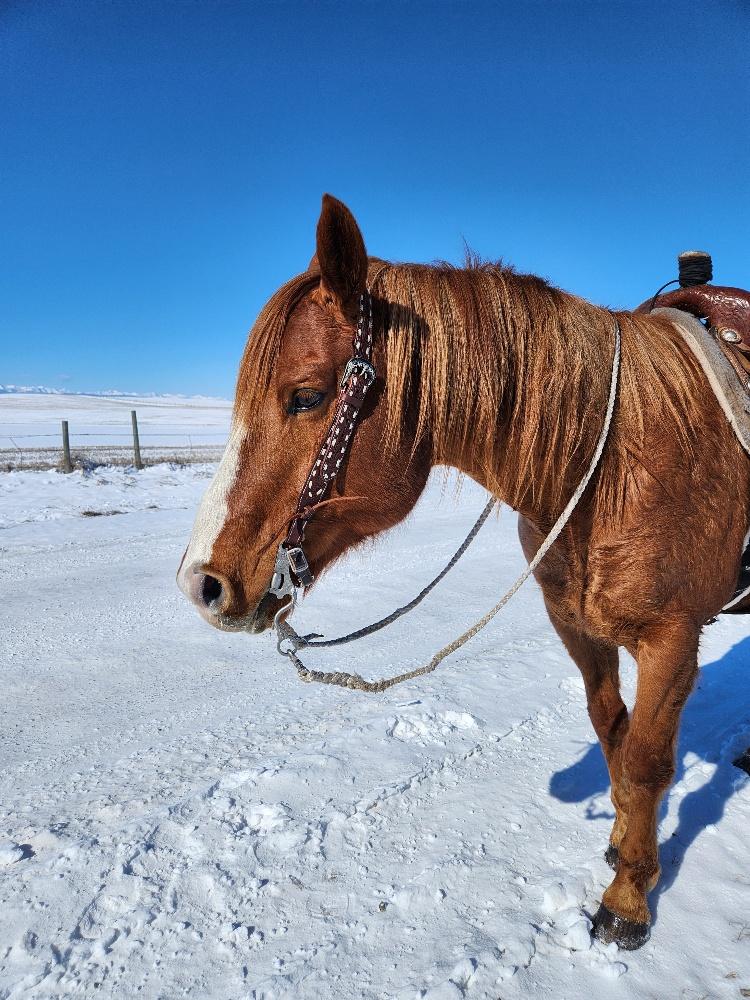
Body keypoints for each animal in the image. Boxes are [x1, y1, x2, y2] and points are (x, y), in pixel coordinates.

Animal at [178, 191, 750, 948]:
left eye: (305, 395)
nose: (201, 583)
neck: (613, 462)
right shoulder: (576, 627)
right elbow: (613, 733)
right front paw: (622, 846)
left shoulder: (672, 641)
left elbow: (648, 761)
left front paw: (628, 900)